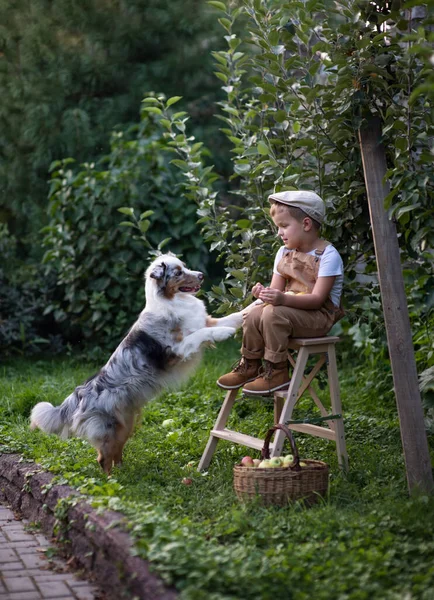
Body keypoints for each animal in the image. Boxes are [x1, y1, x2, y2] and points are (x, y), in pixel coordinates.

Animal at [31, 253, 242, 474]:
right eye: (178, 273)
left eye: (185, 267)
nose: (201, 275)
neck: (170, 301)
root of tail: (79, 394)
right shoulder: (176, 350)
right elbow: (203, 333)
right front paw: (224, 332)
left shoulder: (203, 321)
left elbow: (232, 317)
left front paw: (250, 309)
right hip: (108, 428)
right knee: (103, 458)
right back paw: (112, 479)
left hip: (126, 424)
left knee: (116, 452)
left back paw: (122, 471)